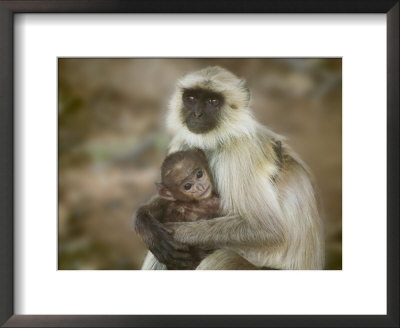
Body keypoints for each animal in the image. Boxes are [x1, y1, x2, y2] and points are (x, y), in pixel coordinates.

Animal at [135, 66, 324, 270]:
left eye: (213, 101)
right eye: (191, 98)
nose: (197, 114)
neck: (218, 139)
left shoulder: (239, 151)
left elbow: (267, 230)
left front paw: (173, 233)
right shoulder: (184, 141)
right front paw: (146, 223)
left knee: (223, 257)